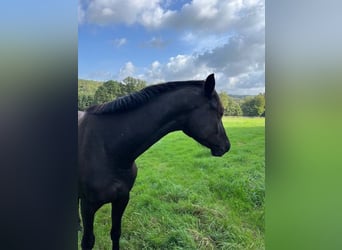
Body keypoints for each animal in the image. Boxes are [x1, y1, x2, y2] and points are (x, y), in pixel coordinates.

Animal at [79, 73, 231, 249]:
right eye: (220, 112)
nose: (226, 146)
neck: (108, 149)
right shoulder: (88, 206)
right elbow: (88, 241)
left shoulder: (122, 199)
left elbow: (115, 232)